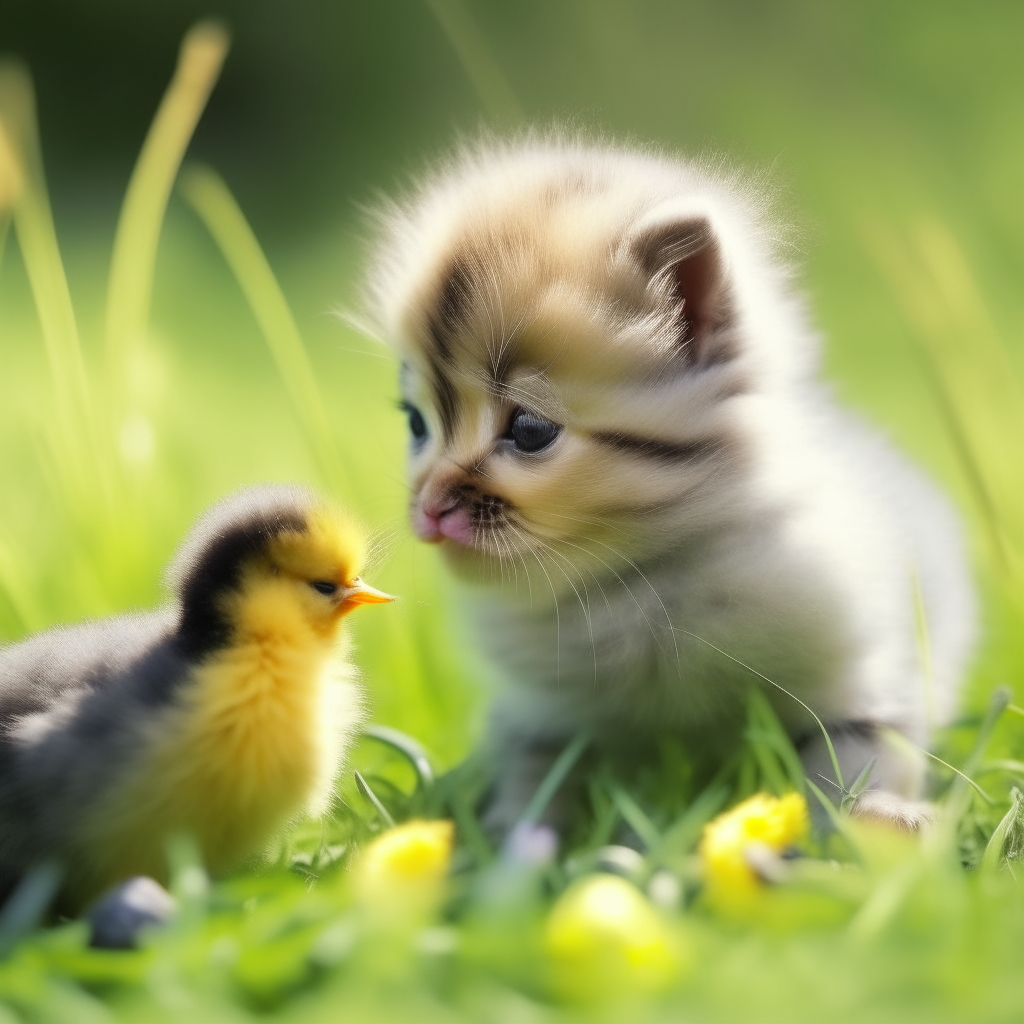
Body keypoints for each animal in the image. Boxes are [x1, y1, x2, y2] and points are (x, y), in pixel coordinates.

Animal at [360, 138, 974, 831]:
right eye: (416, 424)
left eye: (531, 429)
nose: (431, 507)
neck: (637, 583)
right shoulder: (542, 712)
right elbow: (534, 780)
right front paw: (507, 845)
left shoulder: (858, 674)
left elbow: (856, 758)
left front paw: (875, 820)